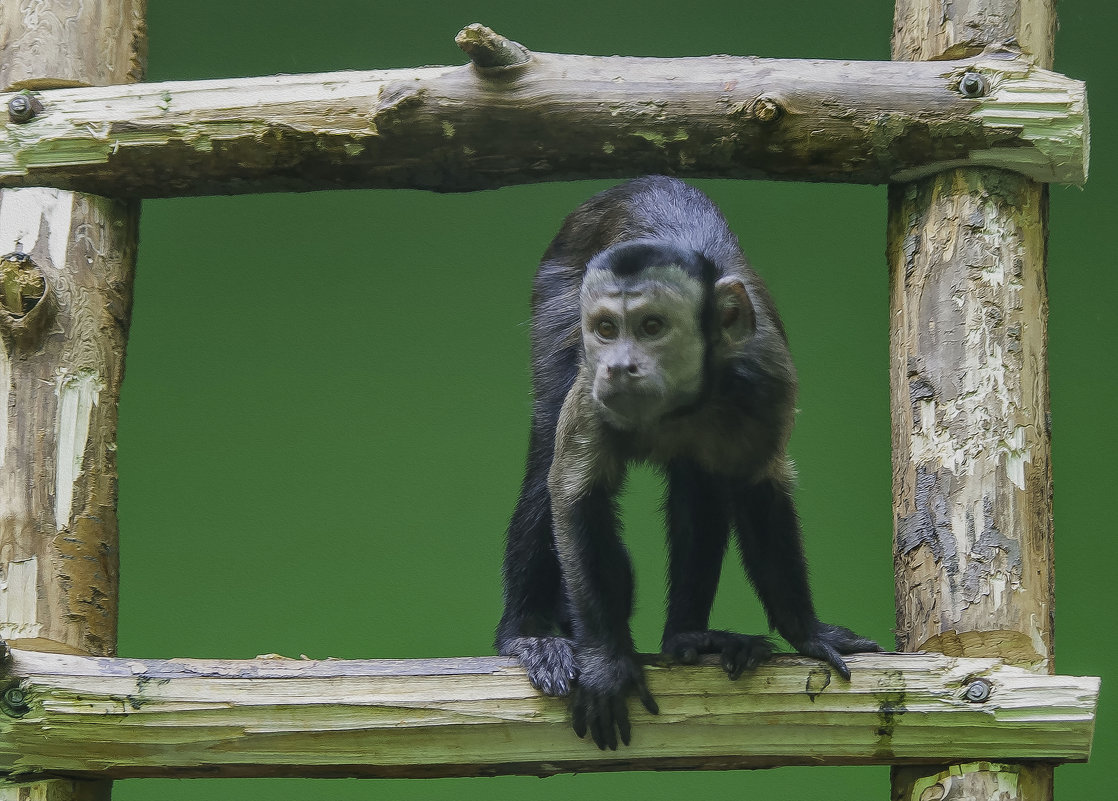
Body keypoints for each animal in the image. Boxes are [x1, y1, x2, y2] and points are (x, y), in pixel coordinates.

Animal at [498, 175, 880, 751]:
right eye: (606, 329)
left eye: (652, 326)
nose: (618, 366)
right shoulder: (589, 387)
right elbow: (572, 492)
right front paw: (606, 663)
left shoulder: (766, 379)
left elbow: (757, 485)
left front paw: (806, 631)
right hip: (557, 291)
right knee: (546, 449)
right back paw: (527, 636)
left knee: (701, 486)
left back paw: (688, 638)